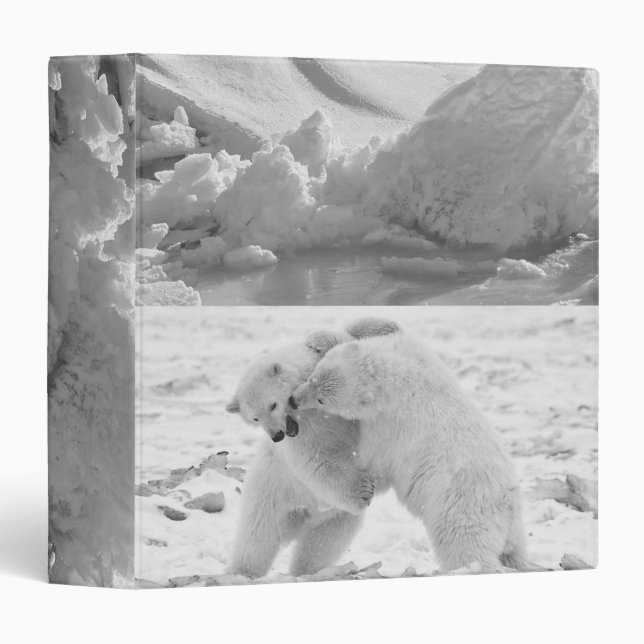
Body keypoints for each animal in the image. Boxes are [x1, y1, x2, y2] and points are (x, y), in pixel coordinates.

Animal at [224, 318, 400, 578]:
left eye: (272, 404)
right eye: (254, 418)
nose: (276, 435)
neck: (308, 415)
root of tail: (301, 518)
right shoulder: (301, 439)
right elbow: (314, 461)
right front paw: (363, 490)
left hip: (333, 517)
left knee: (320, 545)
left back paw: (309, 571)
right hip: (269, 495)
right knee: (256, 538)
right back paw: (242, 572)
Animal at [289, 326, 529, 573]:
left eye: (321, 400)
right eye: (312, 377)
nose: (294, 400)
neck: (398, 377)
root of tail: (509, 506)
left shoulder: (390, 425)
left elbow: (373, 460)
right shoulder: (418, 353)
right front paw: (319, 339)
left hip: (461, 508)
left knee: (464, 546)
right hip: (512, 528)